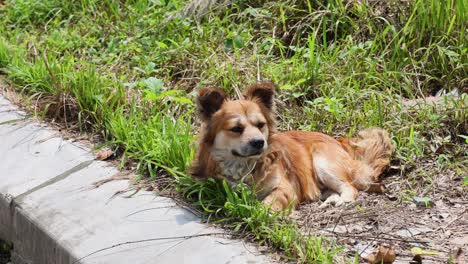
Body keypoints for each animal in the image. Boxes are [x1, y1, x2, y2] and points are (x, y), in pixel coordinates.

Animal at [188, 81, 394, 211]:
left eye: (260, 125)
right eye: (236, 129)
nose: (259, 142)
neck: (244, 165)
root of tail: (340, 142)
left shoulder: (285, 188)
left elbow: (271, 200)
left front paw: (260, 212)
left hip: (324, 162)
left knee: (350, 187)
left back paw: (341, 201)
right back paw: (330, 199)